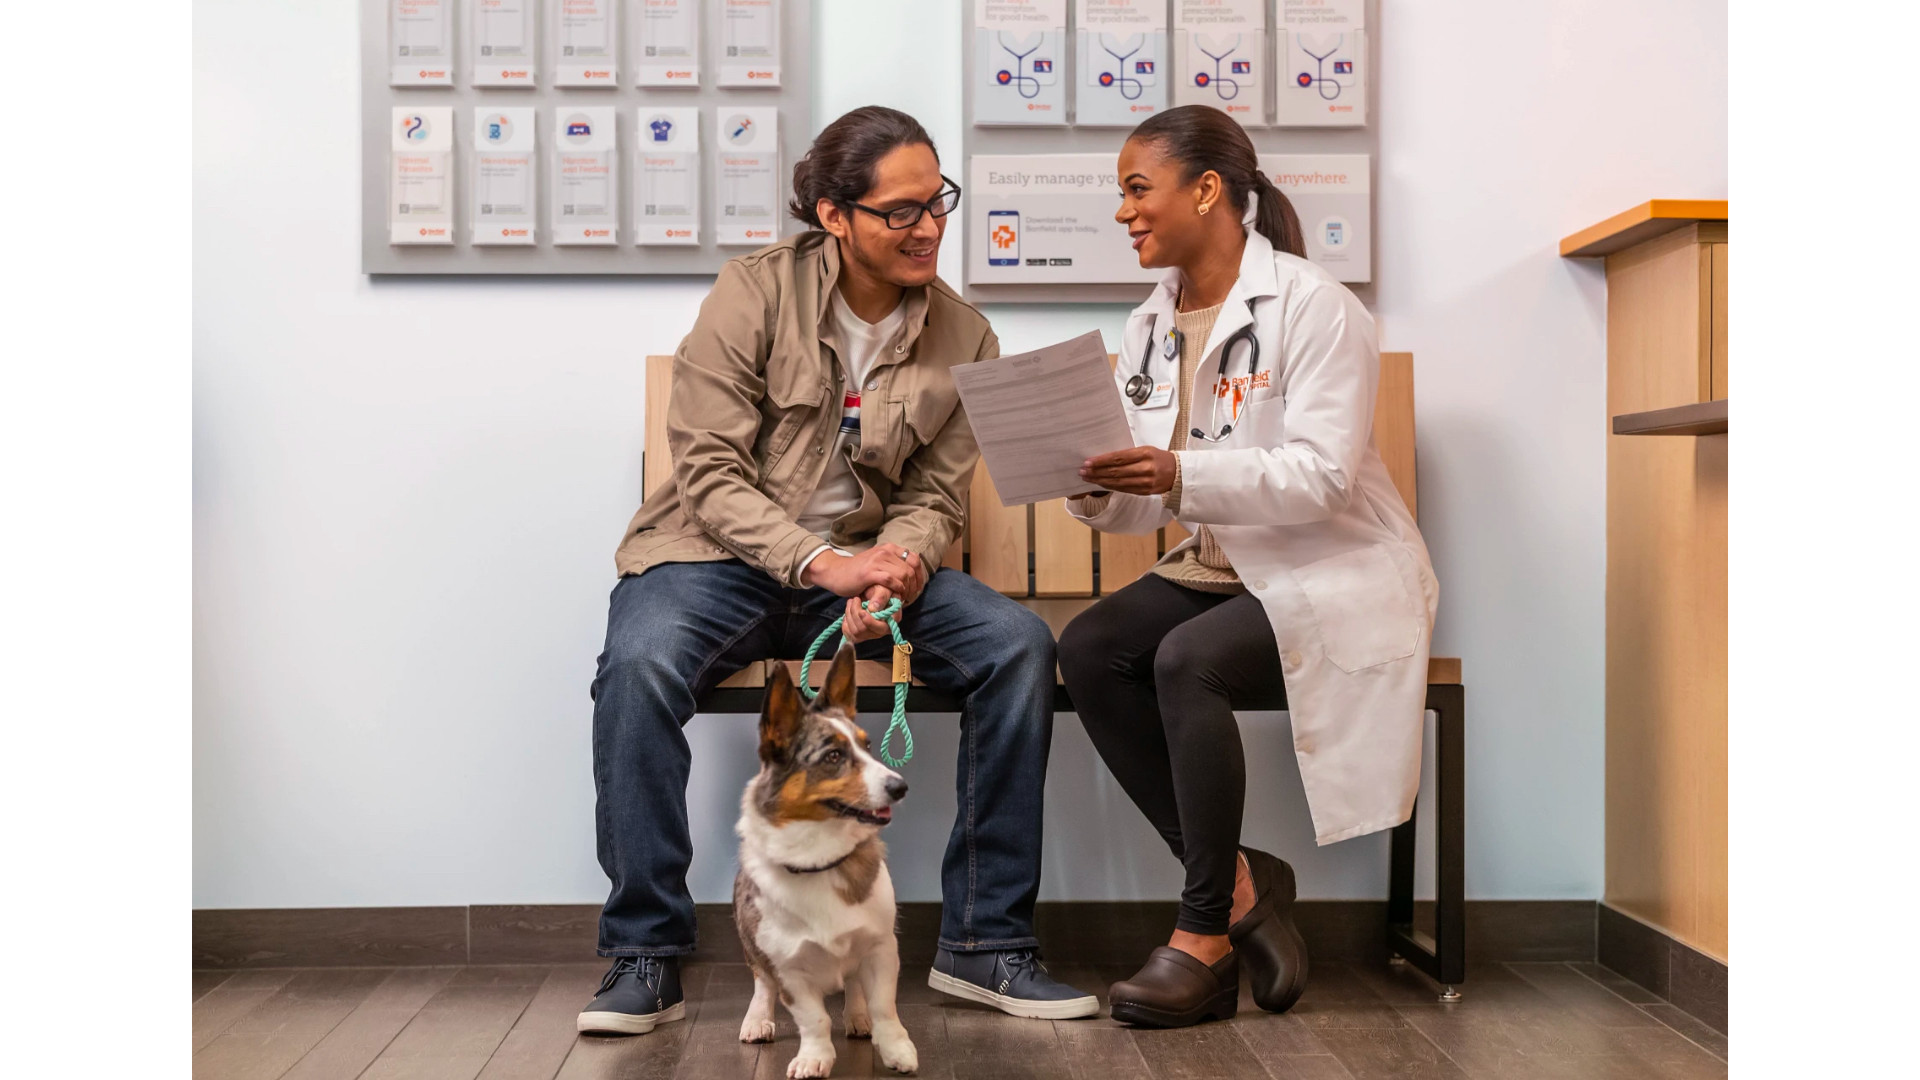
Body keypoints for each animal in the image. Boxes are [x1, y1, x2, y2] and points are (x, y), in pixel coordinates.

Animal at [729, 641, 917, 1068]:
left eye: (868, 746)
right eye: (833, 756)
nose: (900, 787)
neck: (819, 859)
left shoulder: (881, 949)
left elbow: (885, 1006)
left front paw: (896, 1049)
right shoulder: (788, 971)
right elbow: (813, 1019)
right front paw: (814, 1059)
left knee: (854, 986)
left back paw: (858, 1017)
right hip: (753, 948)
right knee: (761, 984)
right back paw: (757, 1020)